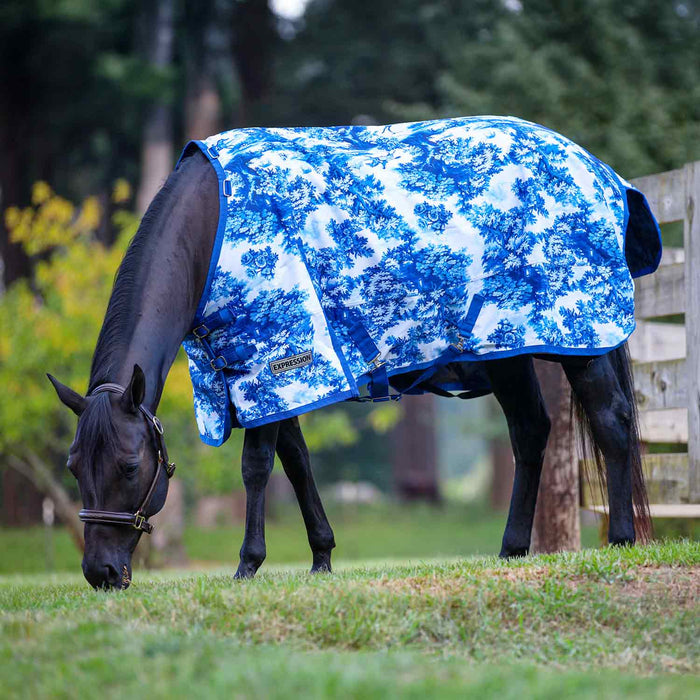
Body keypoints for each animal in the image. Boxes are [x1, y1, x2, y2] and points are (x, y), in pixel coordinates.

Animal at [48, 117, 656, 589]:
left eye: (130, 466)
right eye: (74, 465)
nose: (101, 573)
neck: (211, 224)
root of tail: (601, 174)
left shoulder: (280, 355)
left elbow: (256, 467)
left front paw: (247, 566)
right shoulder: (264, 375)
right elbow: (295, 462)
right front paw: (321, 557)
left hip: (579, 341)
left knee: (611, 422)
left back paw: (622, 542)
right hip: (506, 351)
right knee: (531, 432)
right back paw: (511, 549)